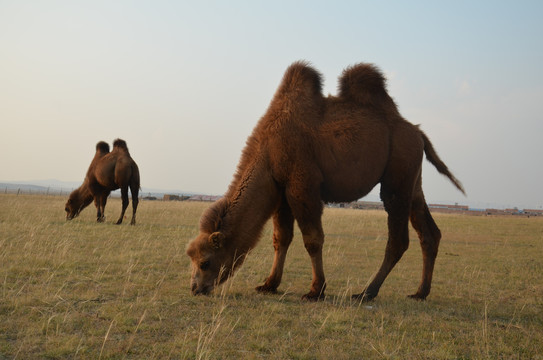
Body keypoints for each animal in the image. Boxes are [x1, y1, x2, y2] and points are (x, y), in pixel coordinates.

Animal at [186, 62, 464, 300]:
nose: (196, 288)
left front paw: (315, 290)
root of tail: (418, 132)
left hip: (397, 175)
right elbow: (280, 238)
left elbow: (312, 239)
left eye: (205, 262)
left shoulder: (302, 184)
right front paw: (269, 284)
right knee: (428, 232)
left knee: (398, 239)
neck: (268, 151)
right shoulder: (281, 191)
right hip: (413, 181)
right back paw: (420, 292)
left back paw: (367, 292)